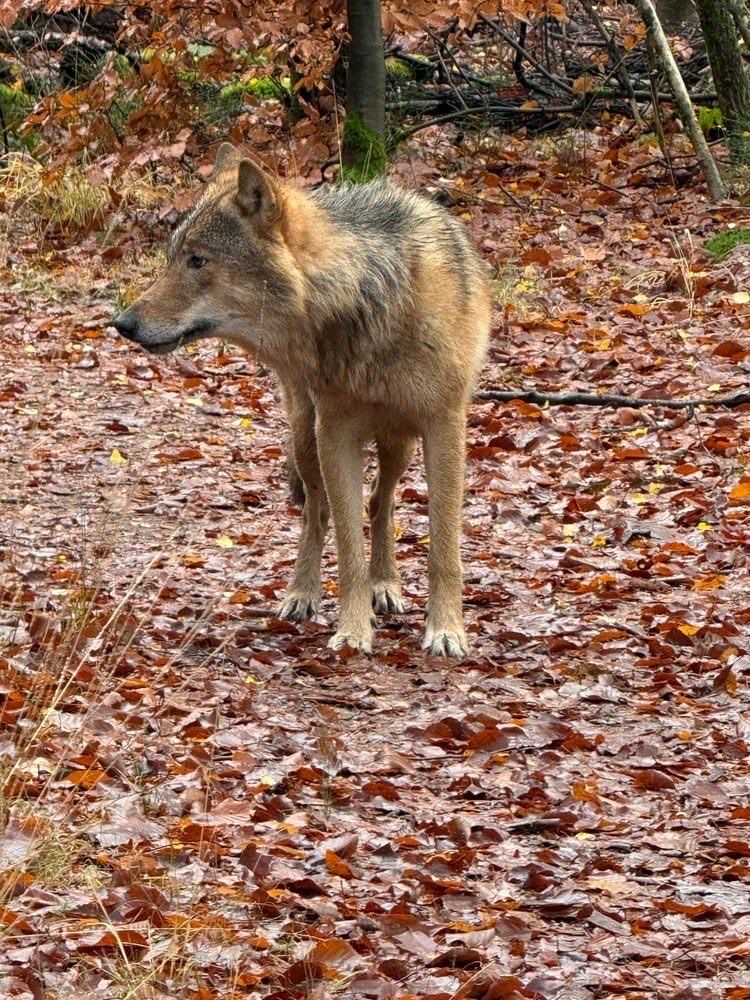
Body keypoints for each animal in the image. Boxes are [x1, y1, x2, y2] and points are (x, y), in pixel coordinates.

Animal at [113, 143, 491, 657]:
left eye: (197, 261)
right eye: (173, 258)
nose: (122, 323)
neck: (364, 302)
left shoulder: (445, 428)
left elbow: (443, 545)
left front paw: (447, 630)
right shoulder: (335, 433)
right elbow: (348, 548)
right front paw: (353, 631)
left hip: (399, 444)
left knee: (382, 501)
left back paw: (386, 585)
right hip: (307, 438)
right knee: (318, 511)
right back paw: (302, 594)